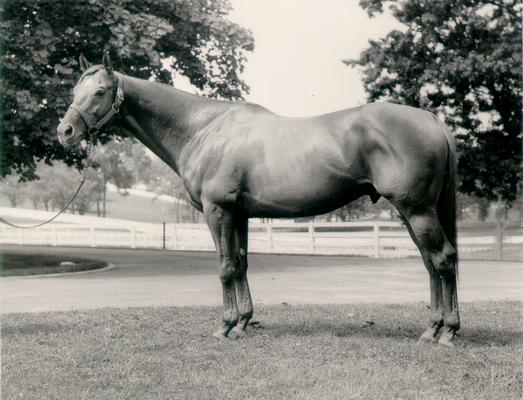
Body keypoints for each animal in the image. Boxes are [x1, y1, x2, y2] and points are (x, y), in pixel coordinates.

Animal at [55, 53, 460, 346]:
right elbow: (242, 263)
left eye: (100, 92)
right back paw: (434, 328)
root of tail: (432, 120)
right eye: (74, 91)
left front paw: (225, 327)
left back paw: (444, 333)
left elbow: (225, 266)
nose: (66, 131)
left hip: (416, 210)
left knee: (442, 259)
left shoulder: (218, 212)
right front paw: (244, 323)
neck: (203, 128)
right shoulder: (241, 215)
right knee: (432, 263)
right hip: (412, 214)